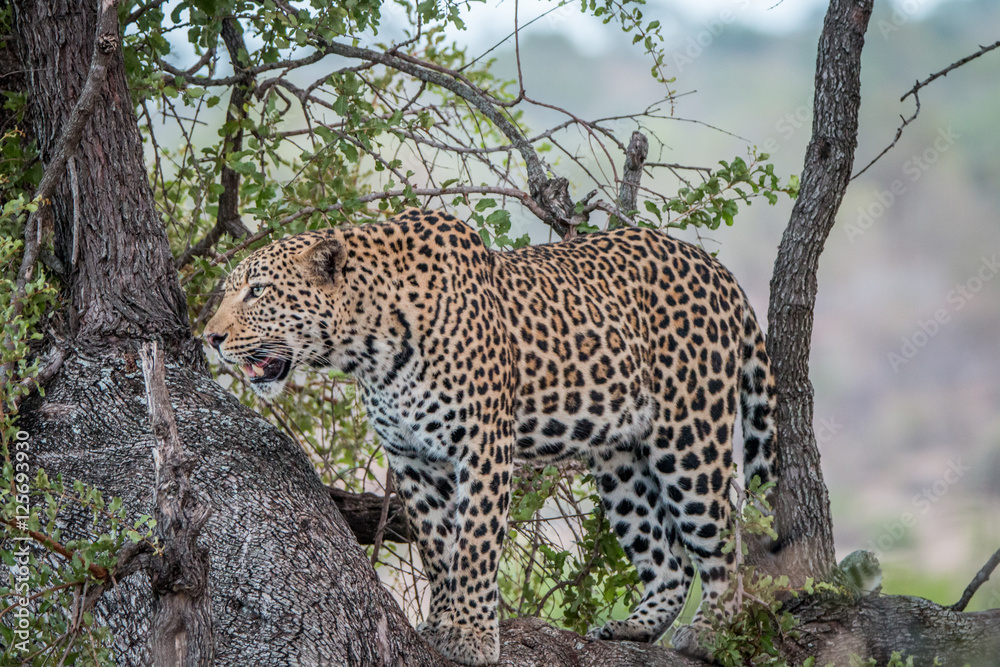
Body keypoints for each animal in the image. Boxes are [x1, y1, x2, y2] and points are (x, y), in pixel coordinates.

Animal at [204, 209, 777, 666]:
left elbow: (475, 542)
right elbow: (438, 546)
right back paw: (631, 628)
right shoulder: (412, 458)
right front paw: (445, 621)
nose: (210, 337)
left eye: (258, 291)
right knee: (669, 563)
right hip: (620, 459)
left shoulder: (482, 447)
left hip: (689, 435)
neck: (369, 346)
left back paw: (711, 632)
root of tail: (716, 269)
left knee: (723, 538)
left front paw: (472, 635)